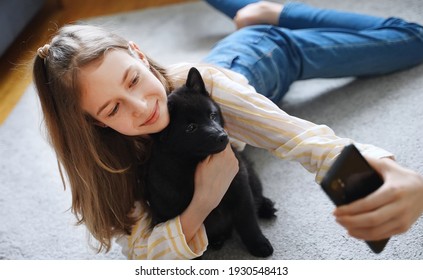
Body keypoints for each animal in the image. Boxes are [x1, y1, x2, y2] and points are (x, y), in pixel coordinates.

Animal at [147, 66, 278, 258]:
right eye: (191, 128)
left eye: (212, 115)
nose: (222, 136)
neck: (191, 165)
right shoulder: (169, 210)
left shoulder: (240, 186)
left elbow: (248, 221)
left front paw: (258, 244)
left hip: (249, 172)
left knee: (258, 194)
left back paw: (267, 207)